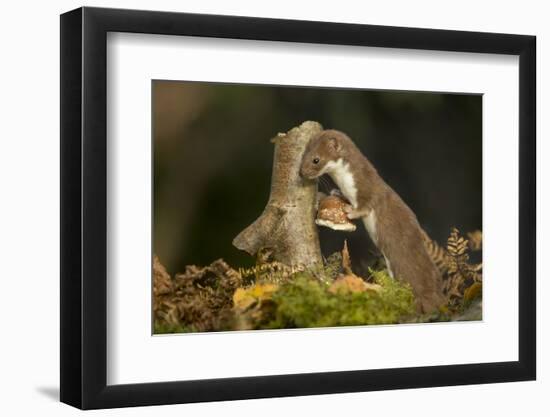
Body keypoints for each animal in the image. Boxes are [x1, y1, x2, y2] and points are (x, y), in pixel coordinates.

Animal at [302, 129, 448, 312]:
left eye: (316, 159)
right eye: (304, 154)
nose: (302, 172)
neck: (346, 183)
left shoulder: (367, 188)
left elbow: (367, 204)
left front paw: (350, 210)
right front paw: (336, 193)